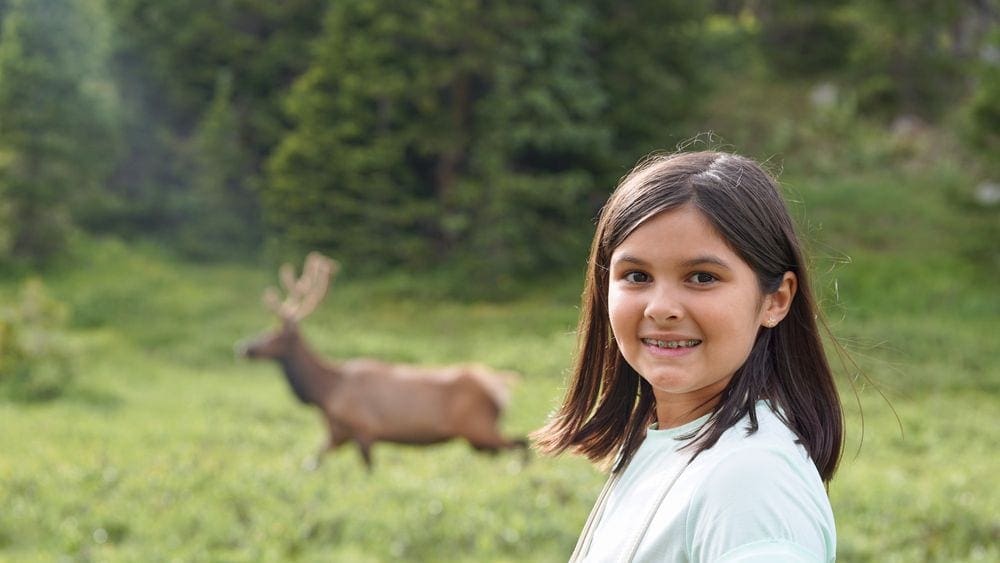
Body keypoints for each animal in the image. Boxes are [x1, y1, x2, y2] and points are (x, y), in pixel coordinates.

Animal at [237, 253, 528, 470]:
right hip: (478, 438)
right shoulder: (337, 434)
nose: (243, 348)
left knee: (520, 446)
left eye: (274, 334)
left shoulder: (364, 430)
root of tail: (501, 384)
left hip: (478, 426)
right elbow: (311, 462)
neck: (325, 393)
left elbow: (368, 470)